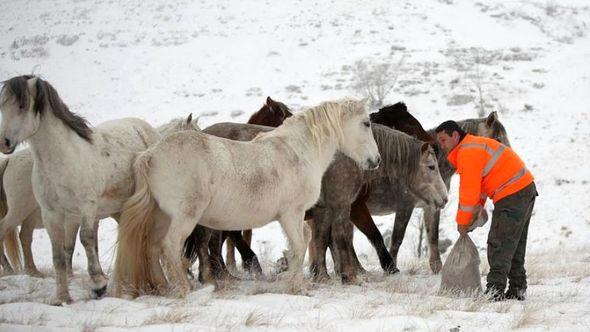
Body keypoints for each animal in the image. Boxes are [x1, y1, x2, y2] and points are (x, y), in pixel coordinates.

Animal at [0, 75, 164, 304]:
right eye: (2, 105)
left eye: (22, 106)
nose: (4, 142)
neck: (62, 159)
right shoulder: (52, 214)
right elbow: (59, 255)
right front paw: (62, 297)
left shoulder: (86, 207)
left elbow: (86, 239)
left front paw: (99, 285)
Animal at [0, 114, 201, 278]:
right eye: (196, 132)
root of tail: (9, 160)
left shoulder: (91, 216)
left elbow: (85, 244)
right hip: (19, 212)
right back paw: (10, 269)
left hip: (29, 219)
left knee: (25, 238)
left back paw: (32, 271)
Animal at [112, 98, 382, 296]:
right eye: (366, 123)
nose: (376, 160)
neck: (297, 152)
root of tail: (150, 154)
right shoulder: (292, 213)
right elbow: (300, 243)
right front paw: (294, 285)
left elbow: (303, 243)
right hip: (184, 218)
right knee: (170, 246)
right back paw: (185, 289)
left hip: (160, 217)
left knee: (152, 247)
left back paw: (164, 286)